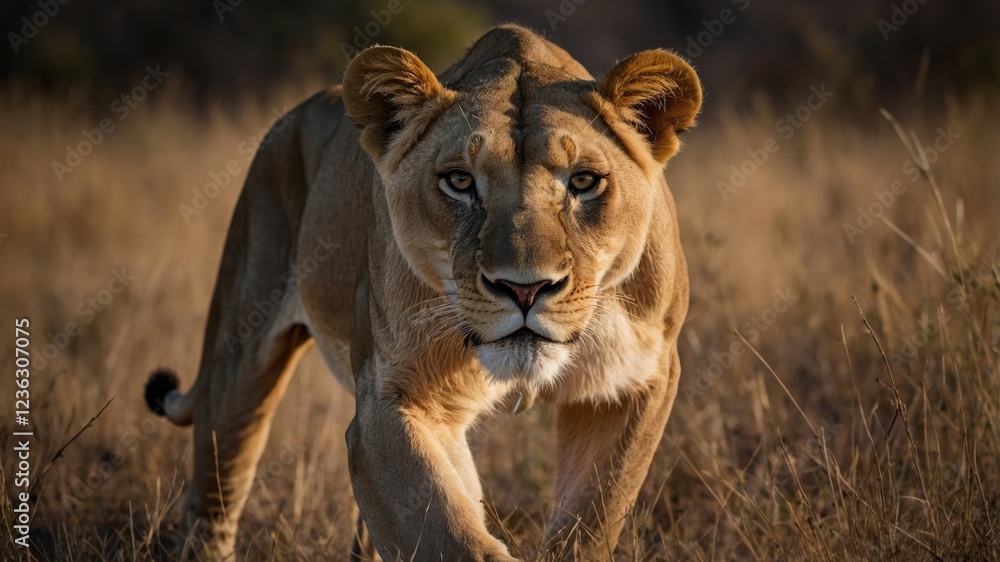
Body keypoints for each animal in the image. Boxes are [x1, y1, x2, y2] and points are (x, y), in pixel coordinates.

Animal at [145, 24, 702, 561]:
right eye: (459, 181)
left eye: (584, 181)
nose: (525, 289)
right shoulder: (390, 400)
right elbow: (448, 536)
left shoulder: (636, 383)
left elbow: (591, 523)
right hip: (238, 357)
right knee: (212, 499)